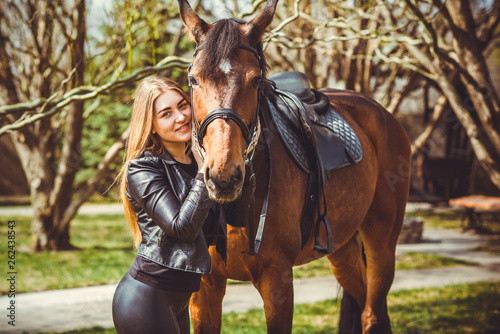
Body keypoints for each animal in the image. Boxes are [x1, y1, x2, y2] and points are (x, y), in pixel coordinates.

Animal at [176, 1, 410, 332]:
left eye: (256, 80)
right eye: (193, 79)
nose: (224, 178)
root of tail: (381, 113)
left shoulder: (278, 281)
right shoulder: (205, 288)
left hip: (382, 241)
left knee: (373, 314)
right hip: (343, 249)